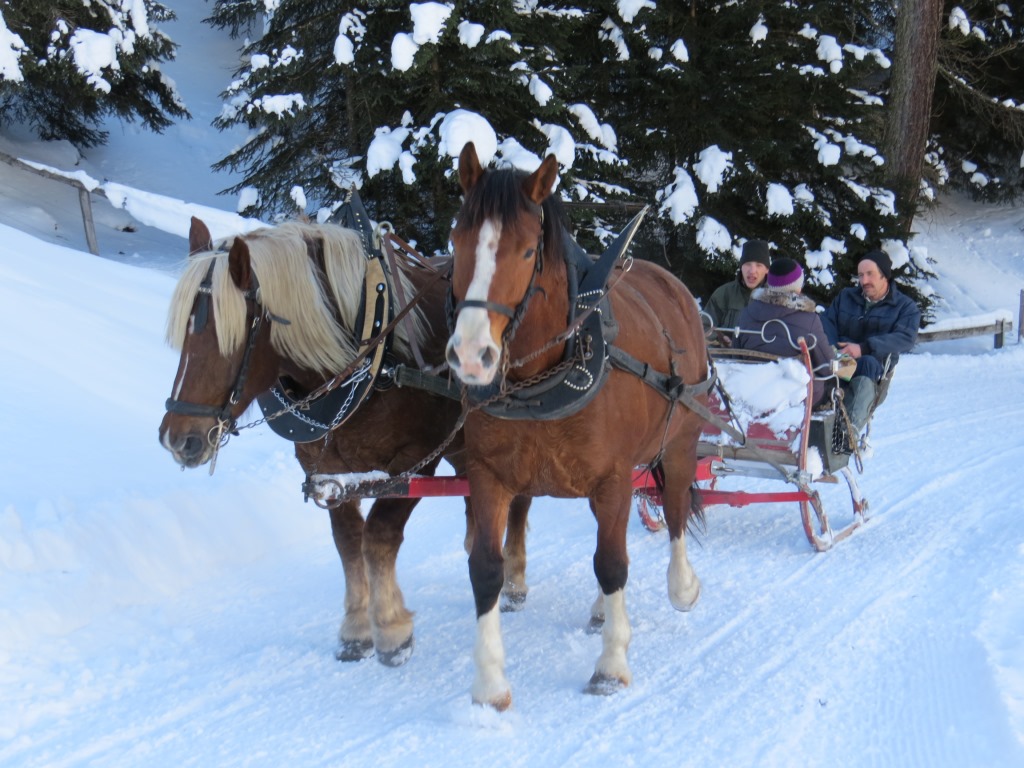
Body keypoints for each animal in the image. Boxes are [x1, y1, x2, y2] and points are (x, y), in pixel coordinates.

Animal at [157, 218, 536, 667]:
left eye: (227, 336)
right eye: (183, 334)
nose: (179, 439)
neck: (372, 354)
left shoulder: (414, 461)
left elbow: (379, 535)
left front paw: (391, 629)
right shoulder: (324, 469)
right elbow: (349, 543)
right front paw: (356, 630)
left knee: (520, 500)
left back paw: (512, 582)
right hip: (463, 446)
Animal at [448, 143, 712, 708]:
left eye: (528, 252)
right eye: (457, 241)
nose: (472, 355)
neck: (540, 380)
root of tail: (671, 282)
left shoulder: (612, 478)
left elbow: (612, 563)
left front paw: (611, 665)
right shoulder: (489, 476)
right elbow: (486, 569)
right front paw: (490, 683)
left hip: (680, 439)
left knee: (675, 508)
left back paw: (681, 585)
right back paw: (600, 609)